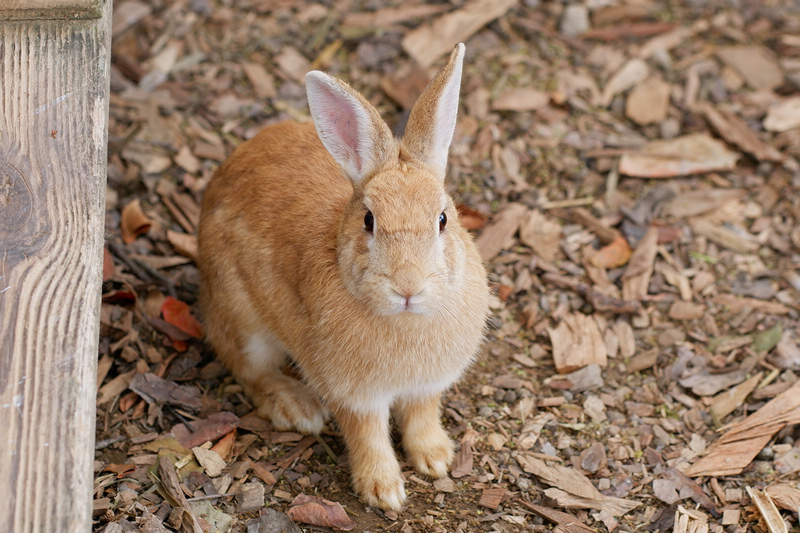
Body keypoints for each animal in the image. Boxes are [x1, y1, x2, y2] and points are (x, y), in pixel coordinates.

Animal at [197, 43, 490, 510]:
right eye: (369, 220)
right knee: (248, 369)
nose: (408, 288)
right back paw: (297, 408)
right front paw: (383, 490)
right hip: (242, 317)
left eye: (443, 219)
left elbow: (422, 415)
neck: (404, 320)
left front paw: (437, 458)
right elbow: (366, 434)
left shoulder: (427, 386)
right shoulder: (353, 393)